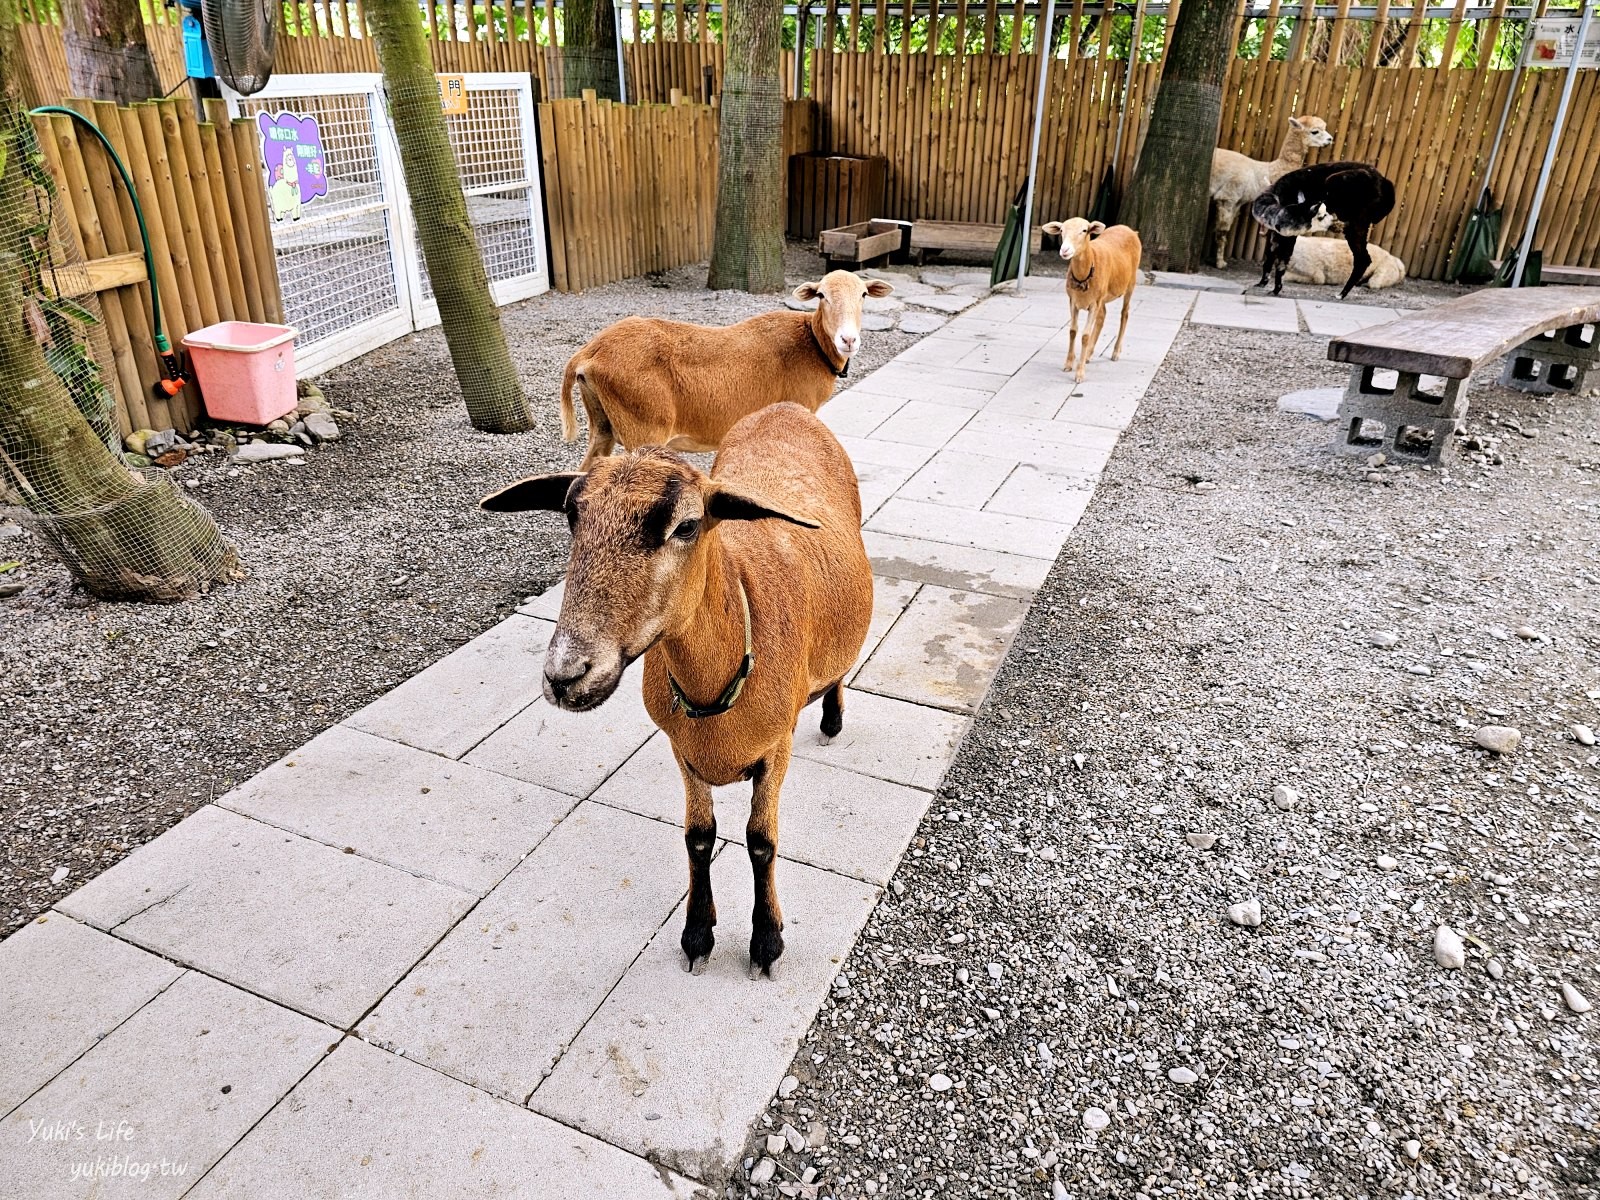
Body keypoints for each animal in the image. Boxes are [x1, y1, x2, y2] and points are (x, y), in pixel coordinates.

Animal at [480, 401, 876, 979]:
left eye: (687, 526)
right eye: (572, 516)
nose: (564, 675)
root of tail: (786, 407)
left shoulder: (775, 749)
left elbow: (761, 842)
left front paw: (766, 941)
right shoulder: (681, 749)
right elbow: (698, 839)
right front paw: (697, 934)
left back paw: (831, 717)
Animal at [556, 272, 896, 470]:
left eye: (863, 295)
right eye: (822, 295)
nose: (848, 339)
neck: (811, 343)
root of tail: (588, 354)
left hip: (603, 421)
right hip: (644, 424)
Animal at [1043, 219, 1145, 382]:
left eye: (1084, 230)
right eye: (1061, 230)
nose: (1065, 250)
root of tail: (1130, 230)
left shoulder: (1093, 304)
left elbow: (1085, 335)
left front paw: (1079, 374)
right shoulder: (1073, 301)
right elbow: (1073, 331)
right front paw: (1068, 364)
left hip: (1131, 283)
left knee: (1125, 314)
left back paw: (1115, 352)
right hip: (1102, 297)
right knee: (1102, 316)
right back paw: (1089, 354)